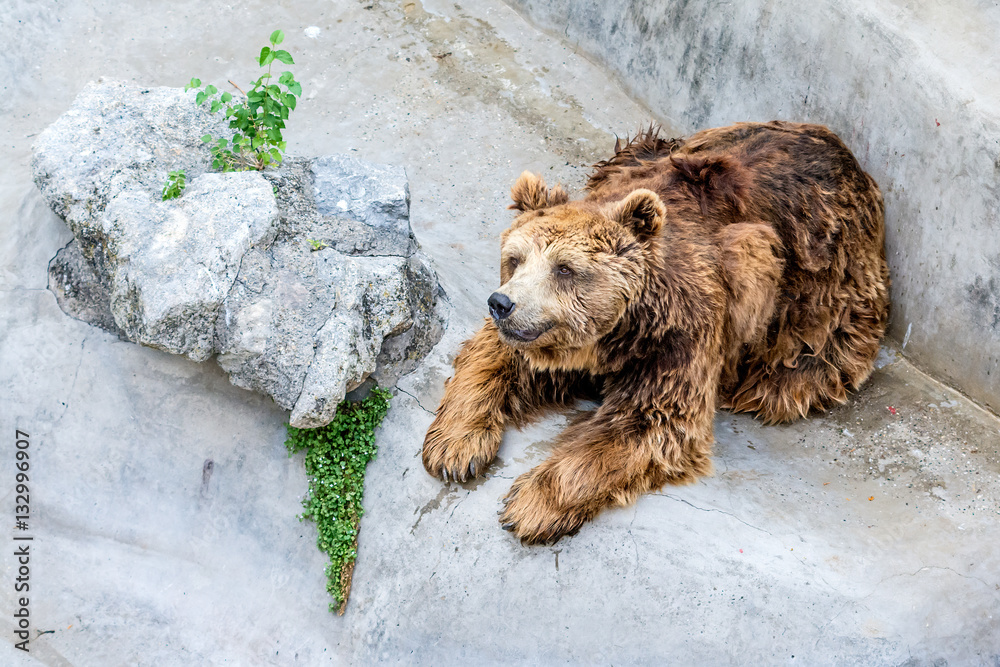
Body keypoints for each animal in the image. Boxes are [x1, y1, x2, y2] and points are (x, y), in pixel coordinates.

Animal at [422, 121, 890, 544]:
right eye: (515, 259)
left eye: (565, 268)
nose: (501, 303)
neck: (617, 334)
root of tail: (847, 156)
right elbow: (492, 356)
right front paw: (455, 448)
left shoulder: (679, 334)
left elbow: (650, 420)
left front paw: (531, 506)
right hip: (648, 150)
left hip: (819, 286)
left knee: (808, 357)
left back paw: (778, 383)